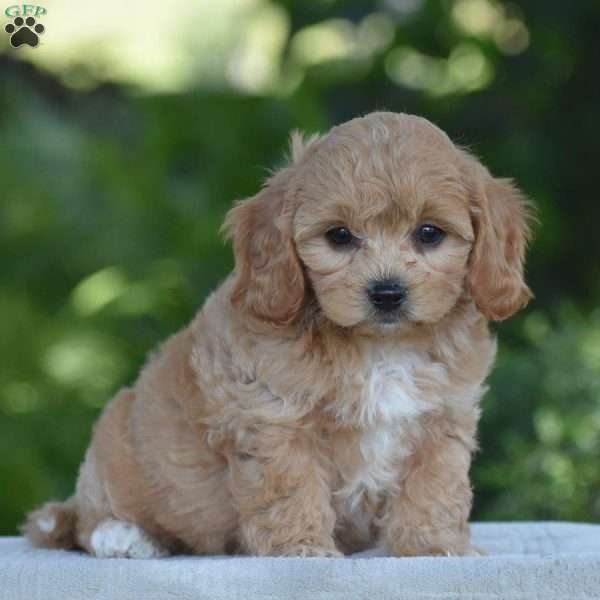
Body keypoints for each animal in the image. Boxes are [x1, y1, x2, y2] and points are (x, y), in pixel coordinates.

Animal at [23, 111, 532, 556]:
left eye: (429, 233)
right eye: (339, 236)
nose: (387, 292)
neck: (380, 347)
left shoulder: (442, 419)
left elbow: (434, 488)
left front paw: (431, 548)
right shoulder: (272, 418)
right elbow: (290, 489)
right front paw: (302, 549)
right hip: (116, 442)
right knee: (83, 520)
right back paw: (123, 536)